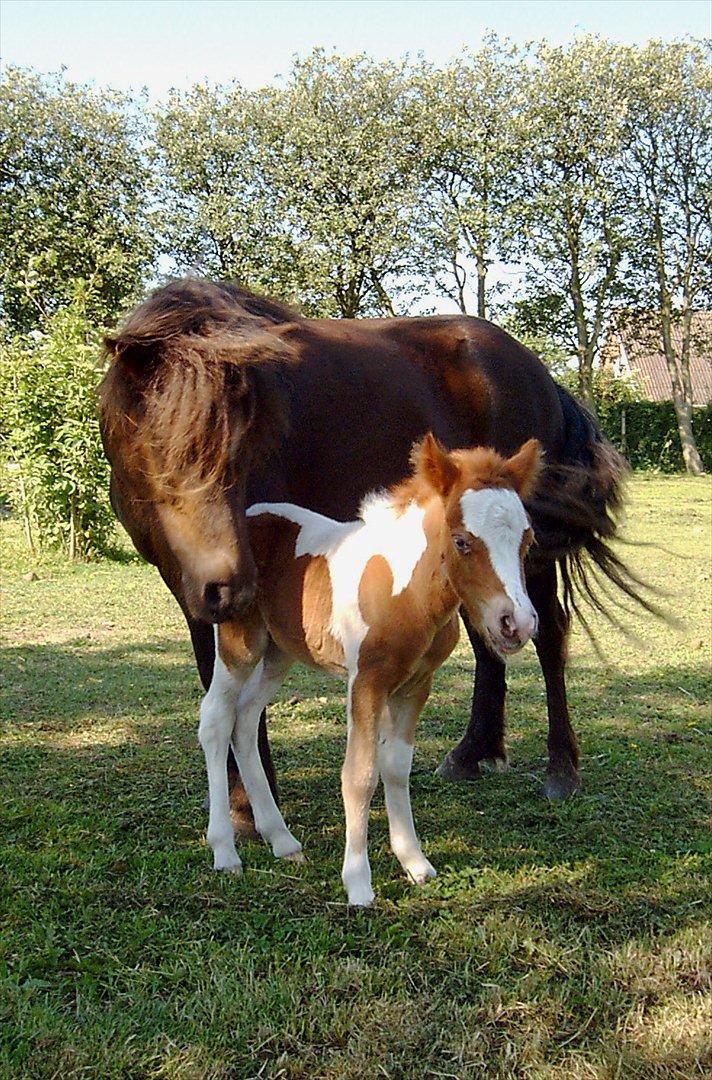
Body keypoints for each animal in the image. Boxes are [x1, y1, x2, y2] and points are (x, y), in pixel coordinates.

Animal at [100, 278, 639, 816]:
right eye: (157, 447)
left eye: (243, 448)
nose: (229, 587)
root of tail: (540, 374)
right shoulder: (187, 582)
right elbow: (218, 680)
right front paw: (244, 801)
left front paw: (253, 805)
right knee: (488, 635)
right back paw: (471, 753)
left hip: (527, 559)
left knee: (549, 634)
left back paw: (561, 769)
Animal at [197, 434, 542, 907]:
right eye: (461, 542)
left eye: (528, 540)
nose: (517, 624)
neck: (406, 593)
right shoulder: (366, 682)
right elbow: (359, 775)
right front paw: (358, 883)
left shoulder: (416, 685)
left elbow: (396, 766)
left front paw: (414, 862)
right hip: (240, 645)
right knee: (216, 719)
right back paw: (225, 852)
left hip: (279, 653)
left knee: (246, 720)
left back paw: (282, 840)